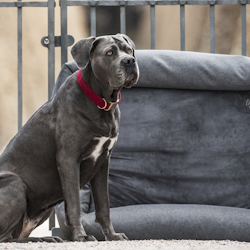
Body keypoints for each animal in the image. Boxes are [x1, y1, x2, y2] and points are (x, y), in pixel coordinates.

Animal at [0, 33, 139, 242]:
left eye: (128, 50)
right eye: (109, 53)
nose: (130, 61)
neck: (101, 104)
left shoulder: (103, 161)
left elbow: (104, 205)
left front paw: (112, 235)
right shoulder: (68, 159)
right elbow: (74, 204)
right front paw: (81, 236)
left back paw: (47, 238)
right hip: (15, 184)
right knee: (8, 237)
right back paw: (41, 239)